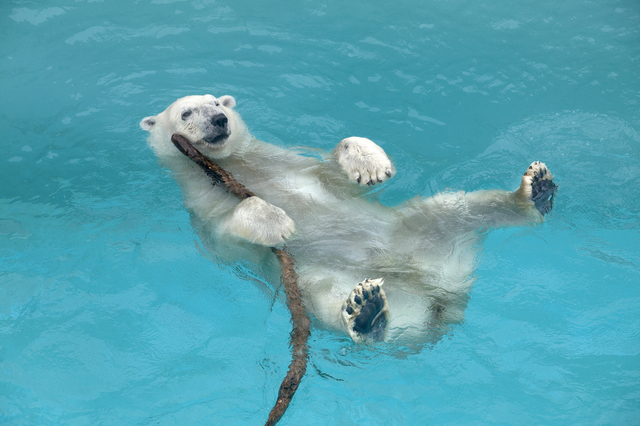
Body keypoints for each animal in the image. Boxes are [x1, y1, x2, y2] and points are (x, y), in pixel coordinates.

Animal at [140, 95, 556, 344]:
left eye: (216, 101)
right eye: (186, 112)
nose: (219, 119)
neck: (237, 165)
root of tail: (444, 297)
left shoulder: (291, 160)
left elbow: (337, 170)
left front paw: (369, 164)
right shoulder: (202, 207)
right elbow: (230, 235)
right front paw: (276, 220)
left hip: (416, 232)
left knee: (456, 208)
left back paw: (534, 191)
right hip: (326, 280)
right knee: (332, 299)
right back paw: (366, 314)